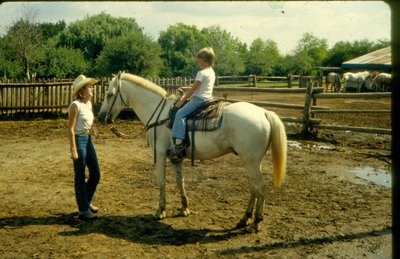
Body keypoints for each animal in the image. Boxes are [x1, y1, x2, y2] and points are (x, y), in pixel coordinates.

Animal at [98, 71, 286, 234]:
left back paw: (255, 222)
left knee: (260, 186)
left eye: (110, 94)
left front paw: (160, 211)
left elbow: (161, 182)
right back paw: (244, 219)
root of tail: (264, 112)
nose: (100, 117)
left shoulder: (160, 154)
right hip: (252, 162)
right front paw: (184, 208)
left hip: (251, 161)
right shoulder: (176, 157)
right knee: (254, 187)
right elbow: (180, 181)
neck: (160, 114)